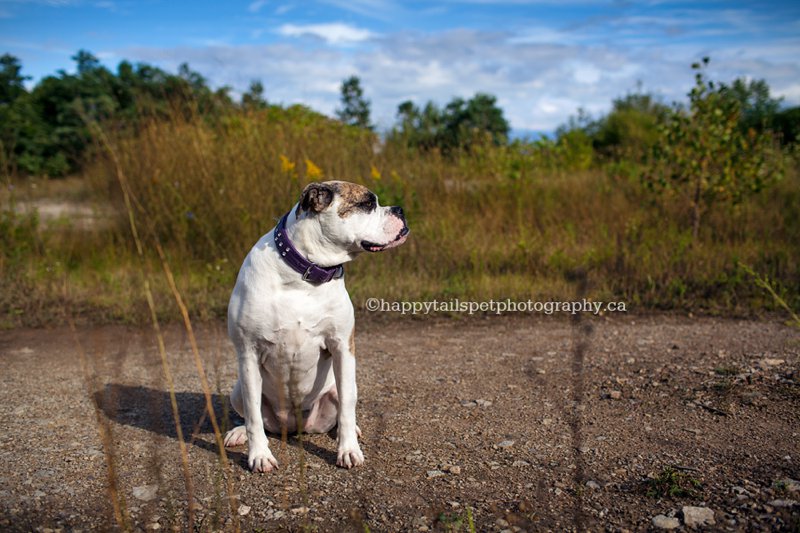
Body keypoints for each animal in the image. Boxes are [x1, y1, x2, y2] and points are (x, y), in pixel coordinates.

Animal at [225, 180, 410, 470]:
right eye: (368, 203)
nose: (400, 210)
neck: (304, 273)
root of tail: (294, 427)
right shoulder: (248, 352)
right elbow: (253, 414)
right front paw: (259, 455)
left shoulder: (343, 347)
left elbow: (346, 408)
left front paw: (348, 450)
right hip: (236, 389)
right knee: (251, 414)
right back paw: (239, 432)